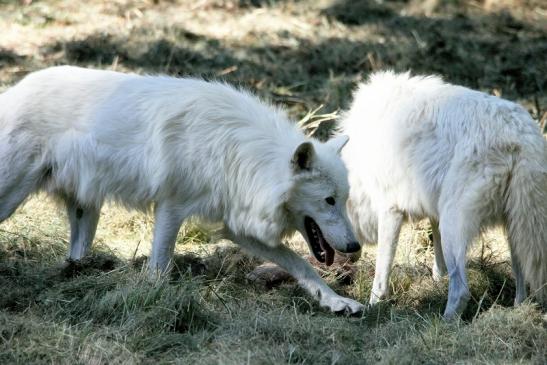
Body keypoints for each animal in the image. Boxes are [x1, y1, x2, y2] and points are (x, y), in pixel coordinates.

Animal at [1, 64, 368, 312]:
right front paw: (152, 298)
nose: (354, 247)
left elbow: (299, 264)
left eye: (343, 200)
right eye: (328, 200)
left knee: (75, 253)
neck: (236, 151)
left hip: (86, 212)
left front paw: (336, 302)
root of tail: (13, 91)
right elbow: (160, 266)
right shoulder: (172, 206)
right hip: (12, 196)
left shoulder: (237, 225)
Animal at [342, 71, 547, 318]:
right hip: (515, 227)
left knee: (461, 290)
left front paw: (373, 306)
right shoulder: (432, 205)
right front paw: (438, 277)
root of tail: (522, 138)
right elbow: (435, 240)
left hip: (455, 222)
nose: (344, 277)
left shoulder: (391, 211)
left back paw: (443, 321)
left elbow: (382, 271)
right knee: (522, 277)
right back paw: (518, 310)